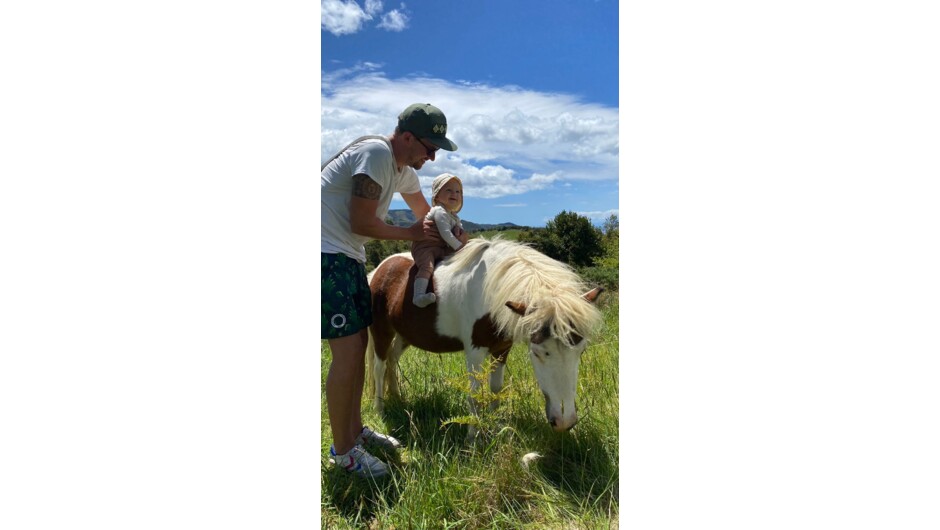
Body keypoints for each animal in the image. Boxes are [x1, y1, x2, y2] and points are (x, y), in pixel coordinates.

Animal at [365, 237, 604, 436]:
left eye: (581, 351)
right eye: (537, 353)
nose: (565, 422)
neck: (491, 290)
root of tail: (377, 271)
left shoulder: (502, 348)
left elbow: (495, 388)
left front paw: (496, 425)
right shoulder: (475, 351)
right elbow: (475, 393)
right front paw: (474, 436)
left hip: (403, 335)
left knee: (392, 361)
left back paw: (397, 397)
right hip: (381, 331)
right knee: (379, 366)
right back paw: (380, 409)